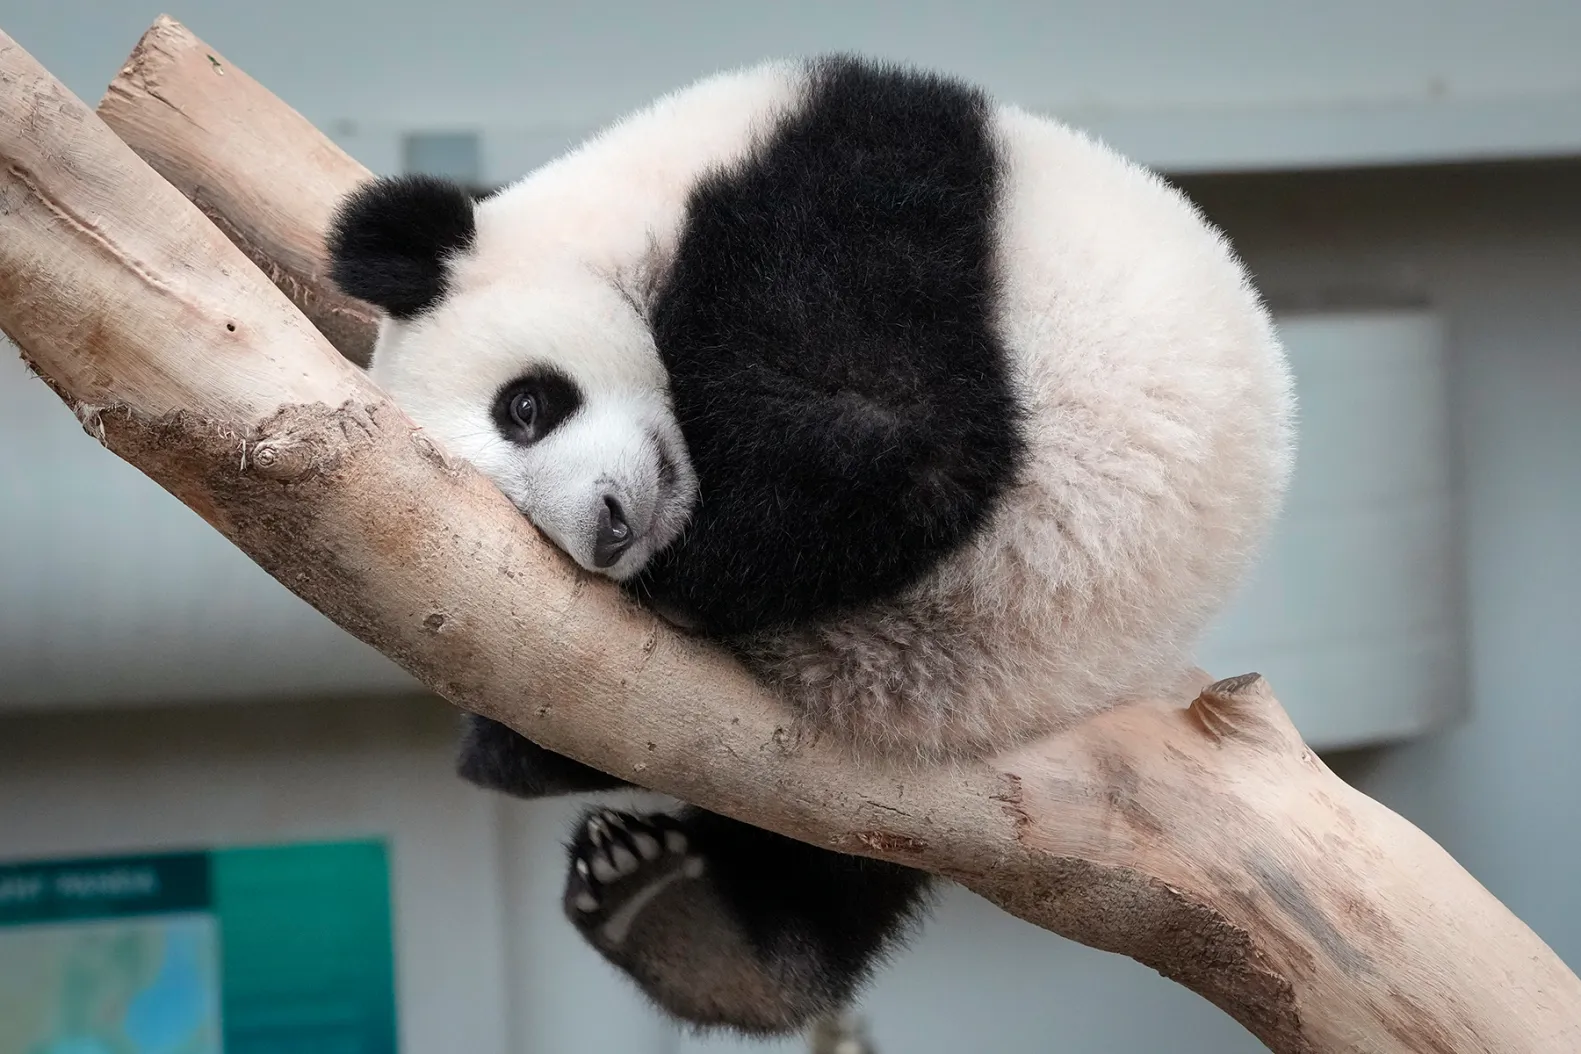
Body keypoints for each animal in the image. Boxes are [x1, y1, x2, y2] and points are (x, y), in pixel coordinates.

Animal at [326, 55, 1294, 1036]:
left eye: (524, 407)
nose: (608, 532)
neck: (648, 195)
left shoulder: (849, 195)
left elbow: (896, 437)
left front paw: (694, 565)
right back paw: (687, 923)